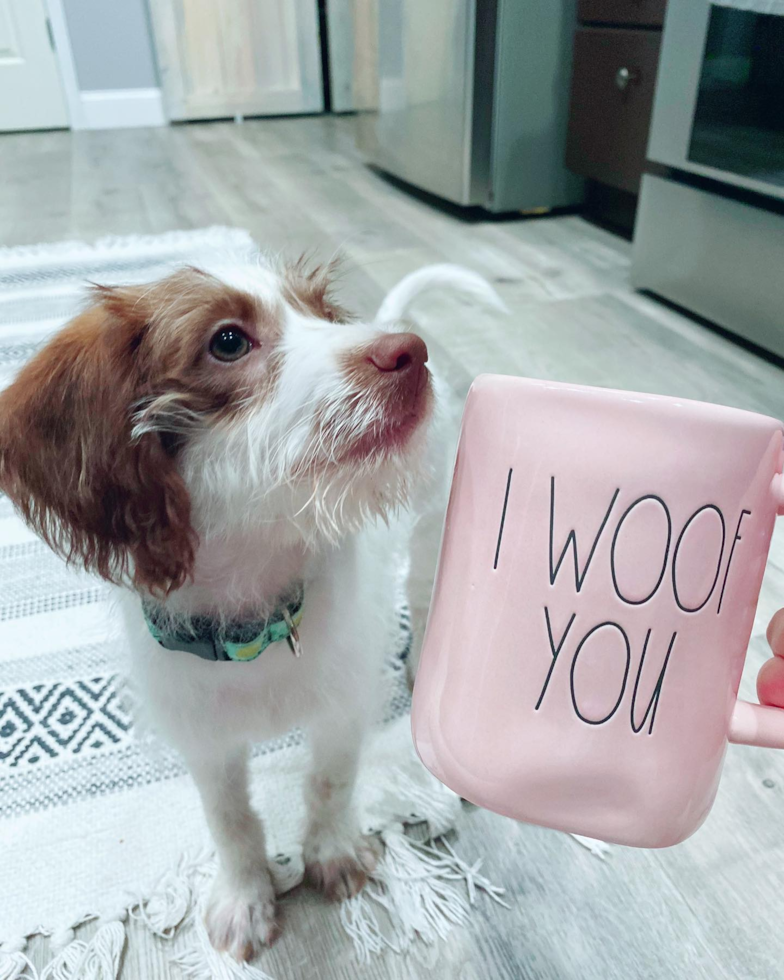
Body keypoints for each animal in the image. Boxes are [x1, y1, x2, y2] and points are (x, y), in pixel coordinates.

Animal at [0, 255, 502, 964]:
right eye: (229, 341)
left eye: (325, 314)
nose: (409, 351)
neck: (257, 614)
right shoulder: (205, 740)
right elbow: (229, 818)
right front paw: (244, 895)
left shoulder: (343, 708)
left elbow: (330, 782)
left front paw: (332, 852)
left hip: (434, 516)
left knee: (428, 589)